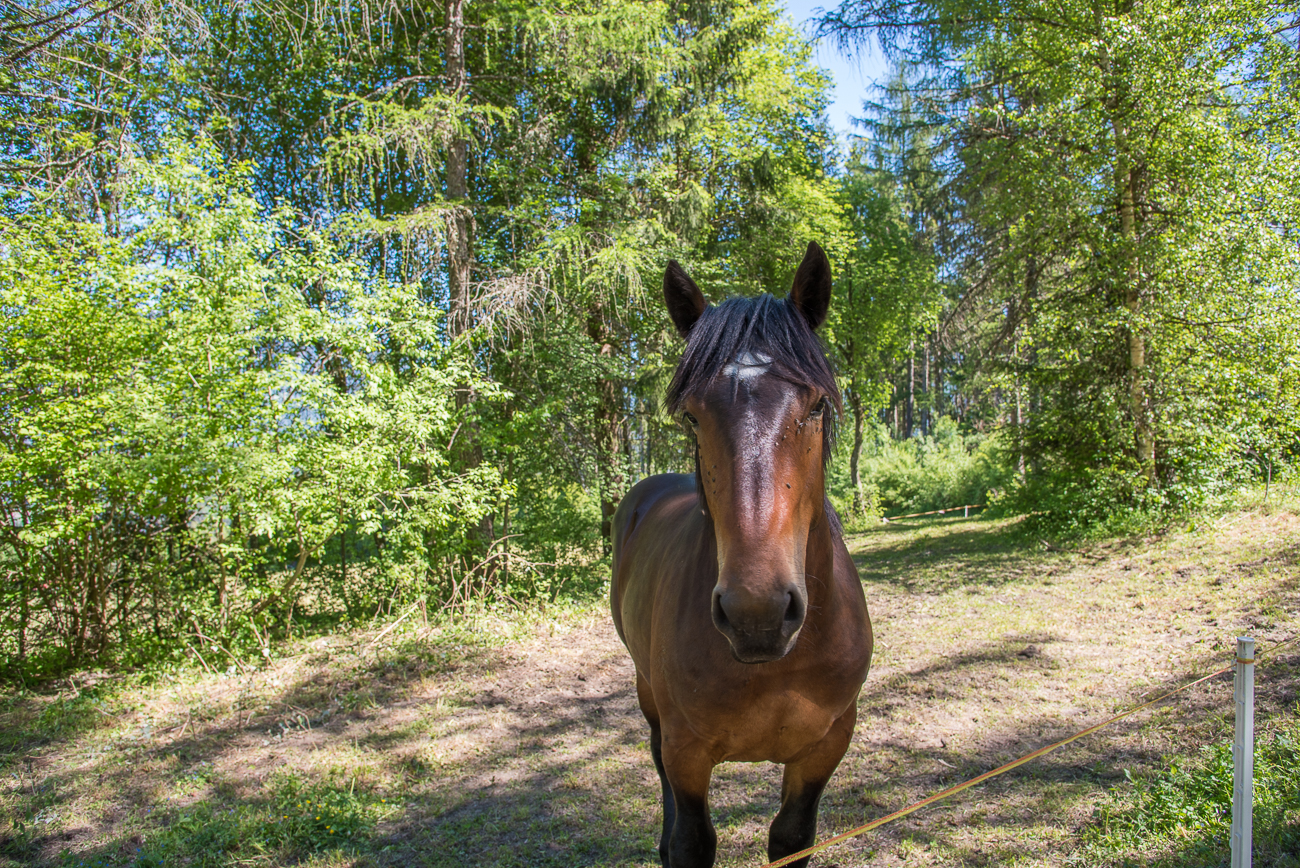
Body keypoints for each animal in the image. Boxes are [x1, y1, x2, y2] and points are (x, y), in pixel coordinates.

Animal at [610, 242, 873, 868]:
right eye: (691, 415)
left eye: (817, 406)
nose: (758, 614)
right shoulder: (687, 751)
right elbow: (690, 842)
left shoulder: (824, 748)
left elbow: (791, 839)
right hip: (648, 695)